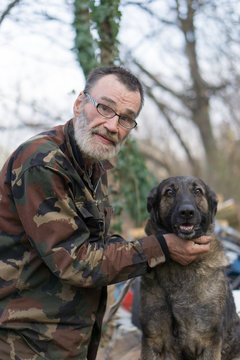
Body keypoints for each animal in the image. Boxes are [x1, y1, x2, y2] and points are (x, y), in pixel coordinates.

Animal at [140, 176, 240, 360]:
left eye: (197, 191)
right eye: (169, 192)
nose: (187, 212)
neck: (179, 269)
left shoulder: (209, 341)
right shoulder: (152, 339)